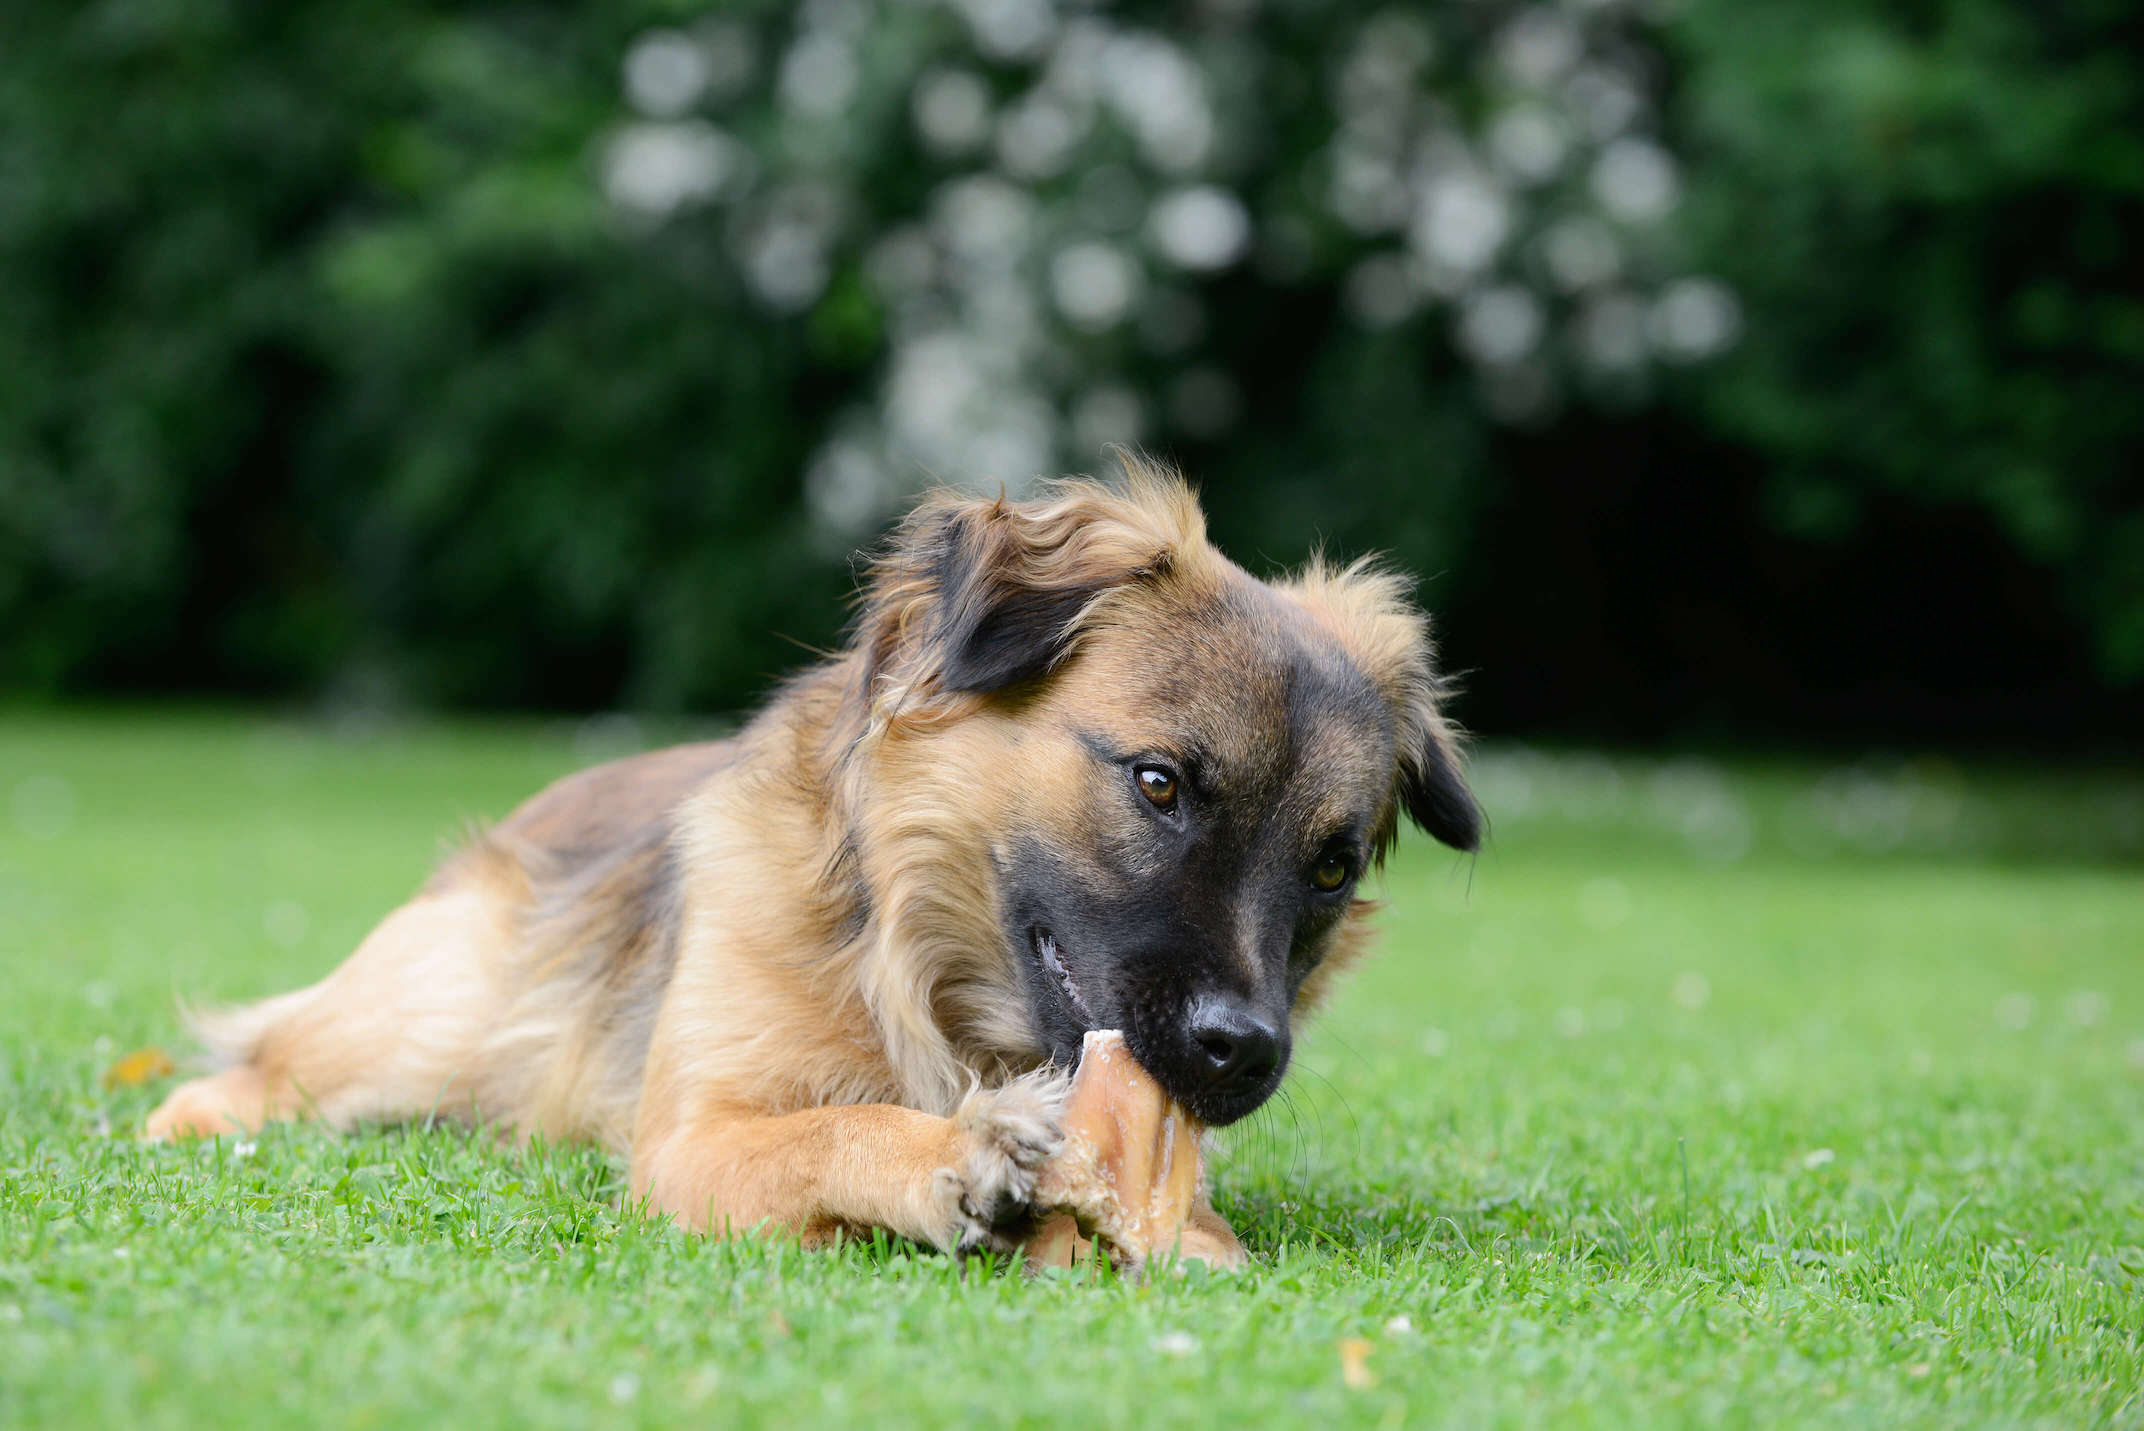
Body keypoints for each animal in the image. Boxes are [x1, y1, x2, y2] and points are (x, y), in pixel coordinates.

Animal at [146, 467, 1475, 1261]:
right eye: (1158, 784)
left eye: (1329, 867)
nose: (1238, 1051)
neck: (921, 977)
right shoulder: (689, 1141)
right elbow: (831, 1128)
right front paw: (953, 1157)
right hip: (418, 1030)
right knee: (245, 1079)